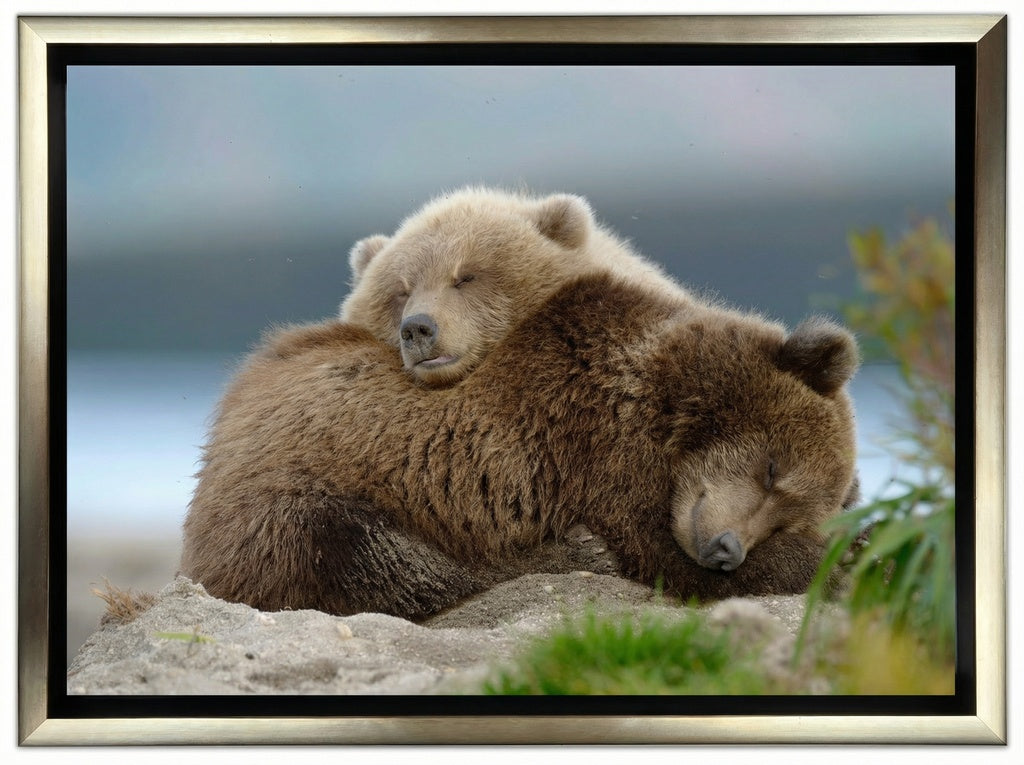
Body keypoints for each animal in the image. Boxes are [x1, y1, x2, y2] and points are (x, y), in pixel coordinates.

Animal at [181, 272, 860, 619]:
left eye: (785, 513)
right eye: (773, 468)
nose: (726, 550)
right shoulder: (596, 443)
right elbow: (655, 551)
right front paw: (848, 556)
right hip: (283, 497)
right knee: (364, 554)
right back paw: (570, 553)